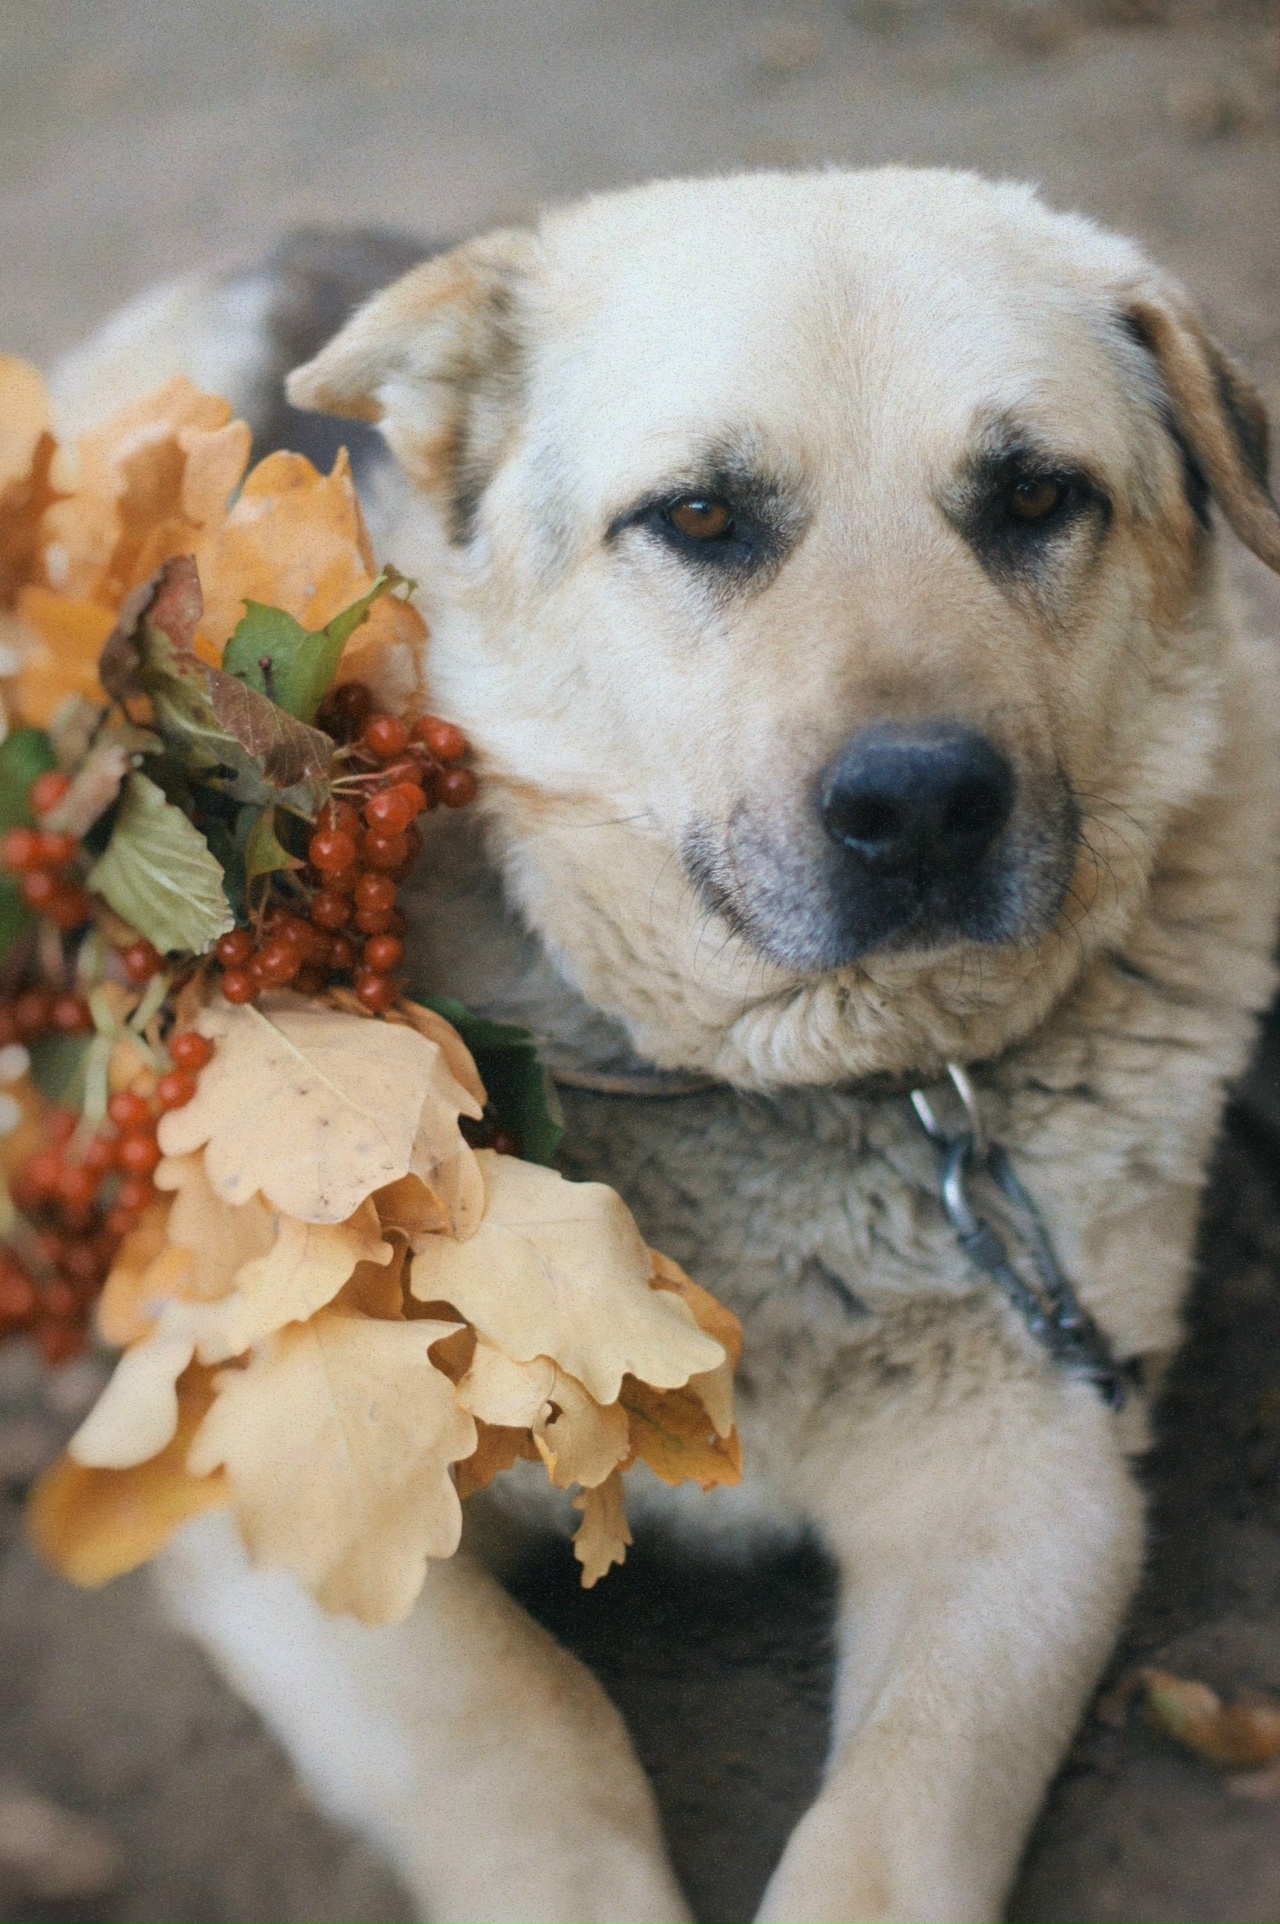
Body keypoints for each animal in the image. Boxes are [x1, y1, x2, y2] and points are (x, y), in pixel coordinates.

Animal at [51, 167, 1280, 1923]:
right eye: (700, 518)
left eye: (1039, 496)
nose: (925, 806)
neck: (803, 1080)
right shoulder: (279, 1492)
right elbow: (536, 1733)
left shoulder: (1039, 1480)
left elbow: (889, 1837)